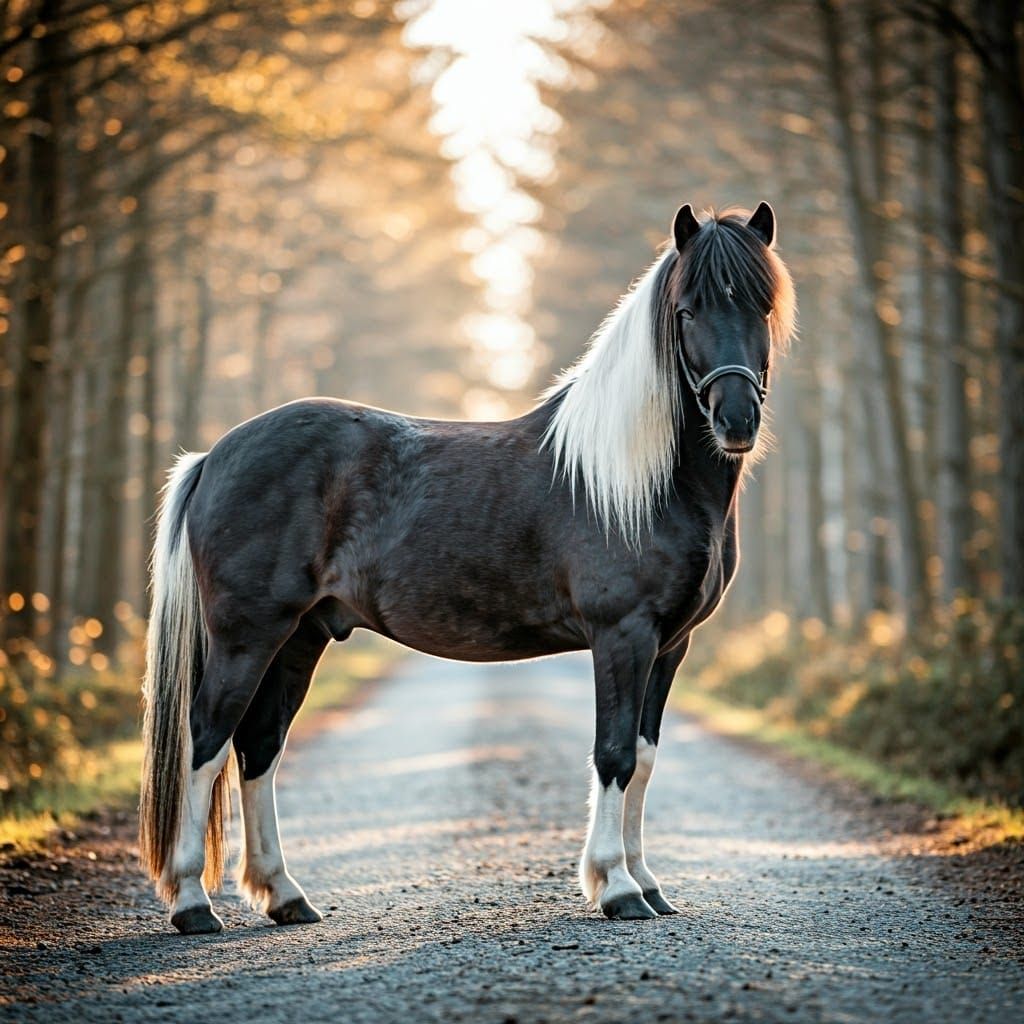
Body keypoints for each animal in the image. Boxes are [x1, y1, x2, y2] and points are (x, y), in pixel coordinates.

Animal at [139, 202, 796, 934]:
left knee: (260, 747)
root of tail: (214, 456)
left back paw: (285, 895)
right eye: (687, 310)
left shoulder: (671, 645)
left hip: (300, 635)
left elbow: (646, 758)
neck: (635, 480)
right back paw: (193, 903)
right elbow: (615, 754)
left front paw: (647, 883)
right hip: (247, 634)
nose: (736, 419)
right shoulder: (623, 635)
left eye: (764, 305)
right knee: (207, 740)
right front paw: (618, 888)